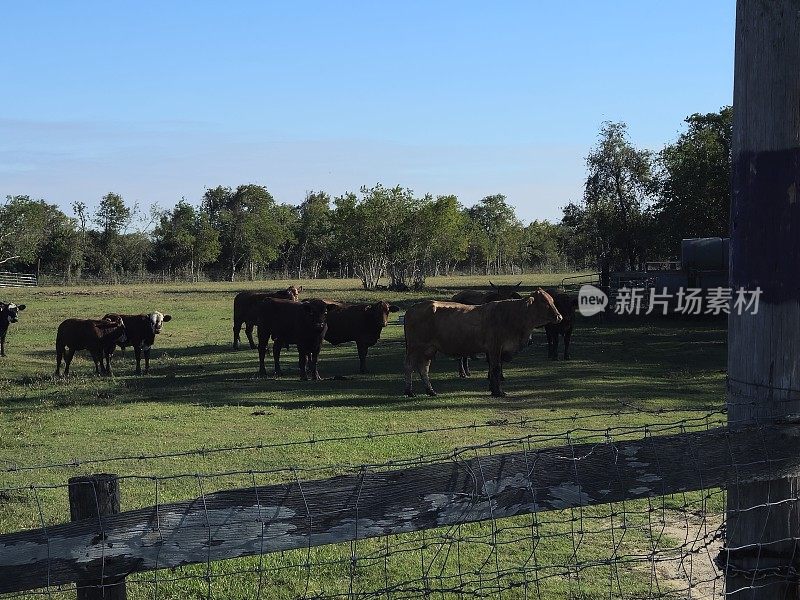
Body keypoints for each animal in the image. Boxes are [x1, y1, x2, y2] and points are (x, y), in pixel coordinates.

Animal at [404, 290, 560, 398]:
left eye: (552, 301)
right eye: (545, 303)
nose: (559, 316)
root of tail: (412, 308)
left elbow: (493, 368)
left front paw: (493, 389)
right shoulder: (495, 347)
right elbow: (496, 368)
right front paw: (498, 391)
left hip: (429, 349)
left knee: (424, 368)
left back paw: (431, 391)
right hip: (415, 347)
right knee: (410, 366)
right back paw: (409, 391)